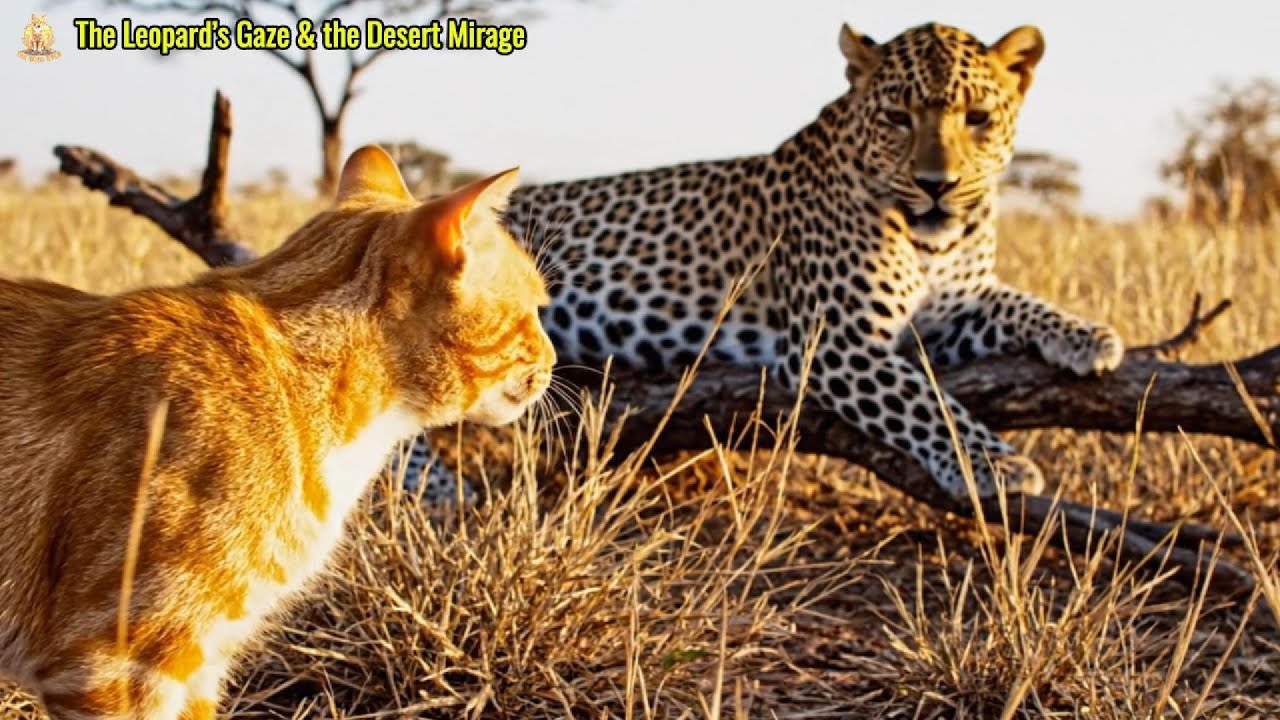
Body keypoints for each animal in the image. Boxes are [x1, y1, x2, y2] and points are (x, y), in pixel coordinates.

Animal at [399, 20, 1124, 504]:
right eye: (897, 116)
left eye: (977, 118)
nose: (937, 184)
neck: (934, 238)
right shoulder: (837, 342)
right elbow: (926, 402)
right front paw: (996, 463)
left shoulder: (945, 316)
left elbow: (1013, 301)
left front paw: (1087, 335)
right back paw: (437, 494)